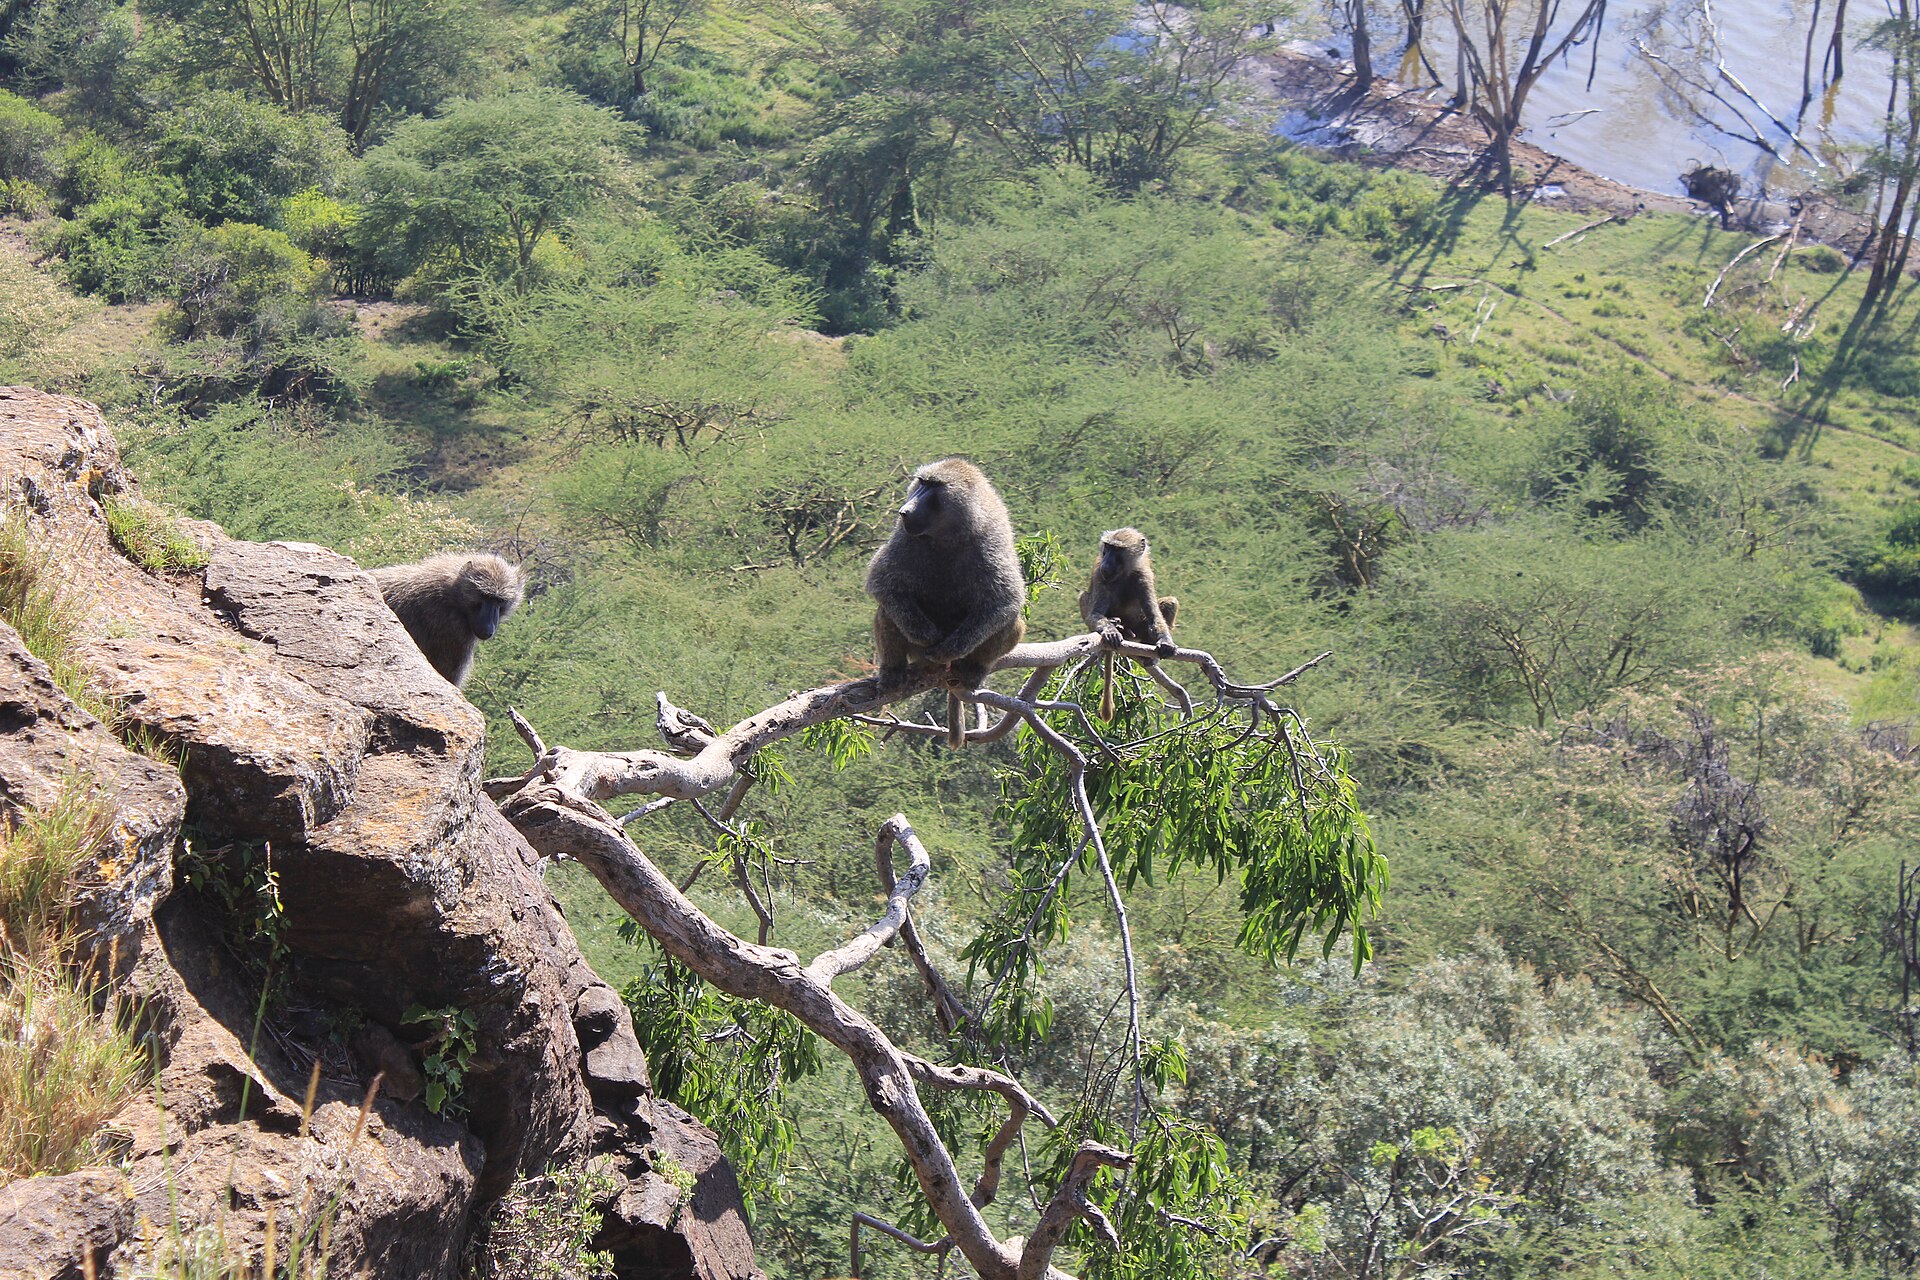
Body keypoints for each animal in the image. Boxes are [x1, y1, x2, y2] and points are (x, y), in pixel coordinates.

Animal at [865, 459, 1027, 748]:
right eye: (921, 482)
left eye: (934, 486)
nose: (904, 511)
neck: (948, 534)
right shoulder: (904, 536)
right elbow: (883, 582)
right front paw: (926, 634)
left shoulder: (991, 538)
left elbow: (1005, 600)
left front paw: (948, 649)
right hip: (916, 654)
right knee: (887, 611)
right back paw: (893, 672)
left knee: (1012, 621)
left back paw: (972, 669)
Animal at [1079, 528, 1179, 721]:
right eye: (1108, 547)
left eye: (1117, 550)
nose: (1106, 563)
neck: (1123, 573)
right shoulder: (1100, 575)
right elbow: (1095, 614)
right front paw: (1110, 631)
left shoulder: (1143, 576)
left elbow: (1155, 616)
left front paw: (1166, 642)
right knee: (1083, 597)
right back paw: (1116, 626)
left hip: (1138, 630)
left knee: (1170, 603)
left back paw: (1148, 656)